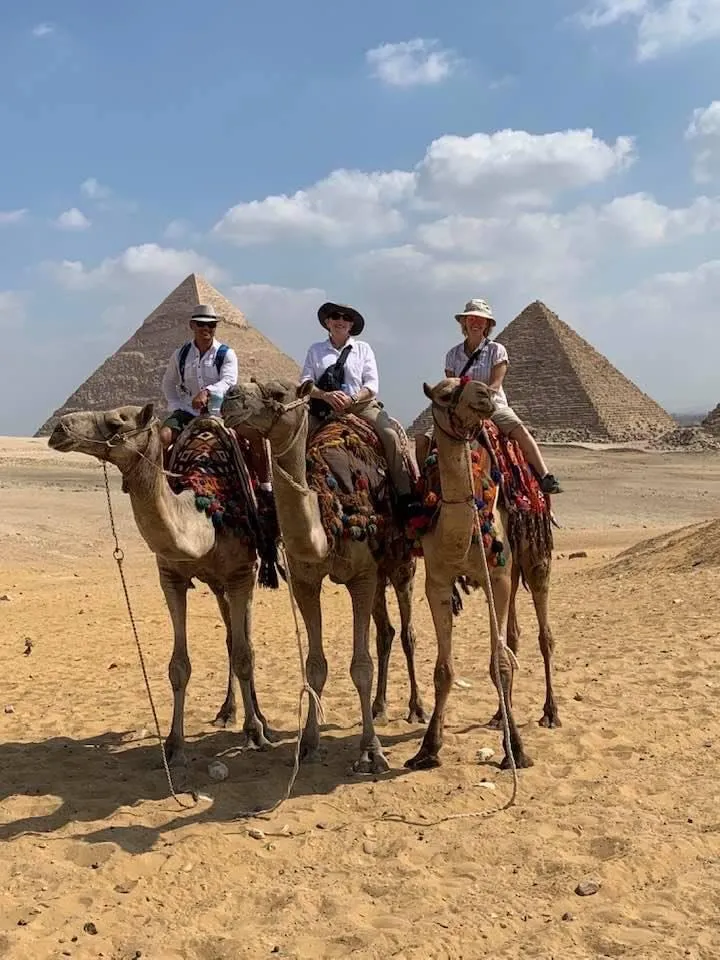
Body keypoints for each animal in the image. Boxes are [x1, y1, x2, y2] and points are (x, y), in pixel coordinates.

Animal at [47, 404, 278, 764]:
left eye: (116, 422)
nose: (60, 429)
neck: (206, 514)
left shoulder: (241, 573)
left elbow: (245, 655)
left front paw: (256, 733)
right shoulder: (171, 578)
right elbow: (179, 666)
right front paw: (174, 744)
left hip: (248, 573)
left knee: (245, 640)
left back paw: (261, 719)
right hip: (217, 585)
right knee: (230, 636)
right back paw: (226, 712)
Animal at [225, 376, 424, 772]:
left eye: (278, 393)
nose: (229, 399)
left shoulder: (360, 577)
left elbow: (360, 667)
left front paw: (371, 752)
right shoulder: (305, 581)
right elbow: (315, 665)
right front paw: (308, 744)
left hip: (400, 566)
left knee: (408, 633)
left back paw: (416, 708)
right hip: (378, 573)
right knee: (386, 632)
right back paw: (379, 708)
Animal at [404, 376, 556, 772]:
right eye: (444, 394)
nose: (485, 394)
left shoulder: (495, 580)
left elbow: (498, 666)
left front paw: (516, 749)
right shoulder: (437, 583)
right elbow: (444, 670)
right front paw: (427, 749)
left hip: (530, 553)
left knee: (543, 634)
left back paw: (550, 713)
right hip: (510, 570)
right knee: (514, 636)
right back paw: (499, 715)